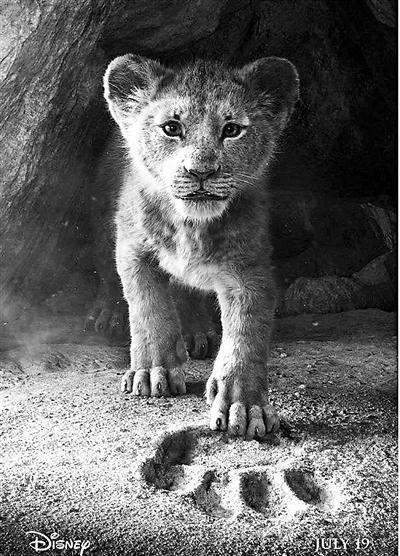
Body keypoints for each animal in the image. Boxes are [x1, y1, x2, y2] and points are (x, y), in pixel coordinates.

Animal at [100, 54, 299, 438]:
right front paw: (154, 370)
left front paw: (243, 405)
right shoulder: (132, 247)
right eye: (171, 128)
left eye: (232, 129)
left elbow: (246, 333)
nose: (201, 172)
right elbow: (149, 307)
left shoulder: (249, 269)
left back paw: (197, 333)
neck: (191, 226)